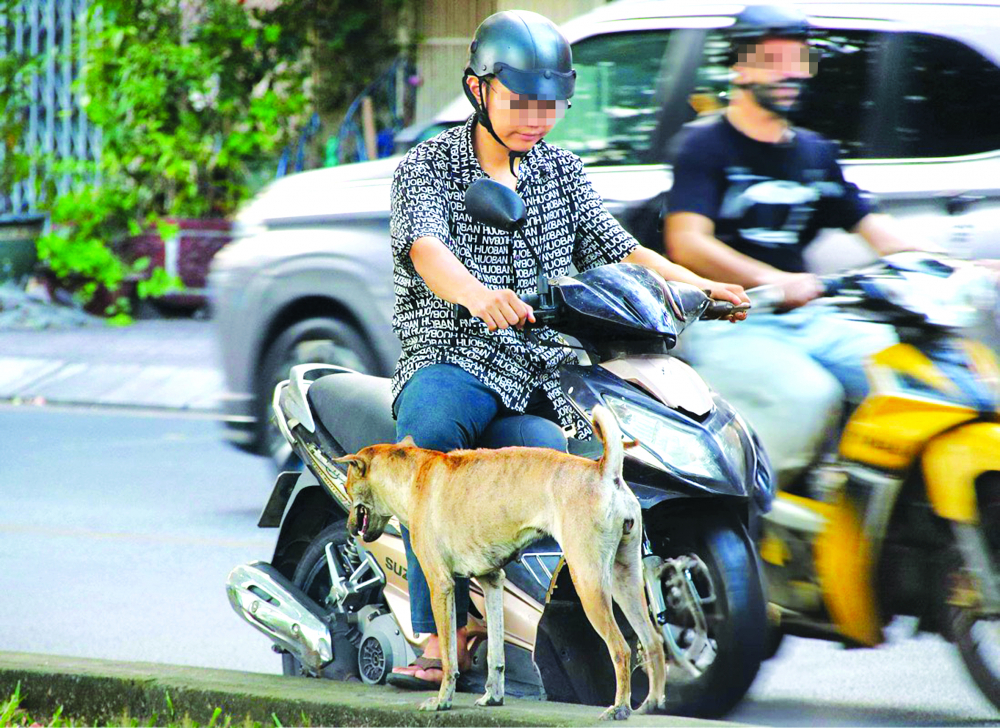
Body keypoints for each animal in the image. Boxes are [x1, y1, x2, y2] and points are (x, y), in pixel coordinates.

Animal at [332, 406, 668, 720]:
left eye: (348, 485)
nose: (349, 526)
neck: (415, 474)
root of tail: (605, 471)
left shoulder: (440, 584)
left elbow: (449, 655)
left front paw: (442, 700)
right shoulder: (493, 582)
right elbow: (495, 654)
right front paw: (492, 696)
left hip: (588, 580)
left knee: (621, 648)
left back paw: (619, 708)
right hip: (625, 578)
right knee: (653, 640)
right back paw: (651, 703)